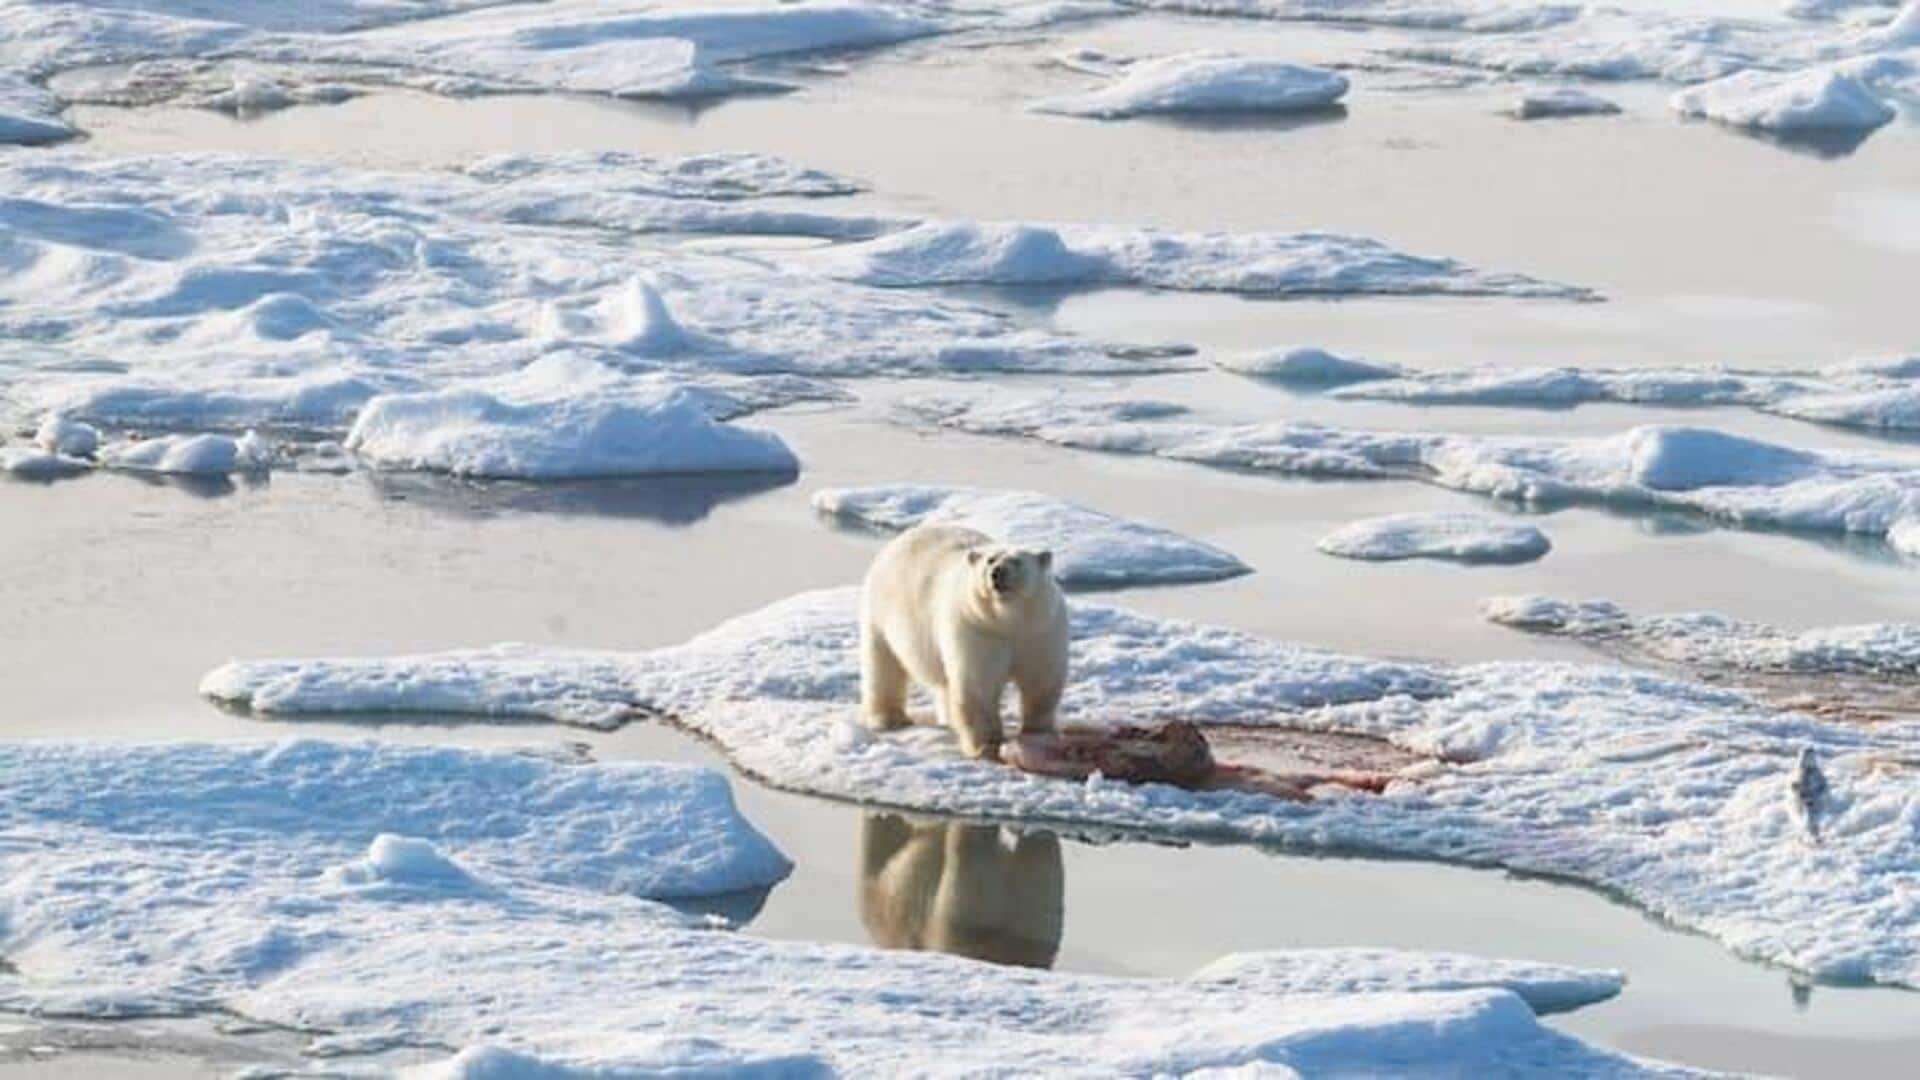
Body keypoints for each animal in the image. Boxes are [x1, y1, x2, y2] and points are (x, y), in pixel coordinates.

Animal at [864, 522, 1075, 757]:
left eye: (1017, 560)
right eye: (990, 560)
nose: (997, 572)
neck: (1008, 620)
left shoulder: (1040, 631)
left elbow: (1041, 680)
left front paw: (1037, 733)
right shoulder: (978, 629)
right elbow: (979, 685)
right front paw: (986, 745)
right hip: (881, 614)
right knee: (883, 665)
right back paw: (889, 718)